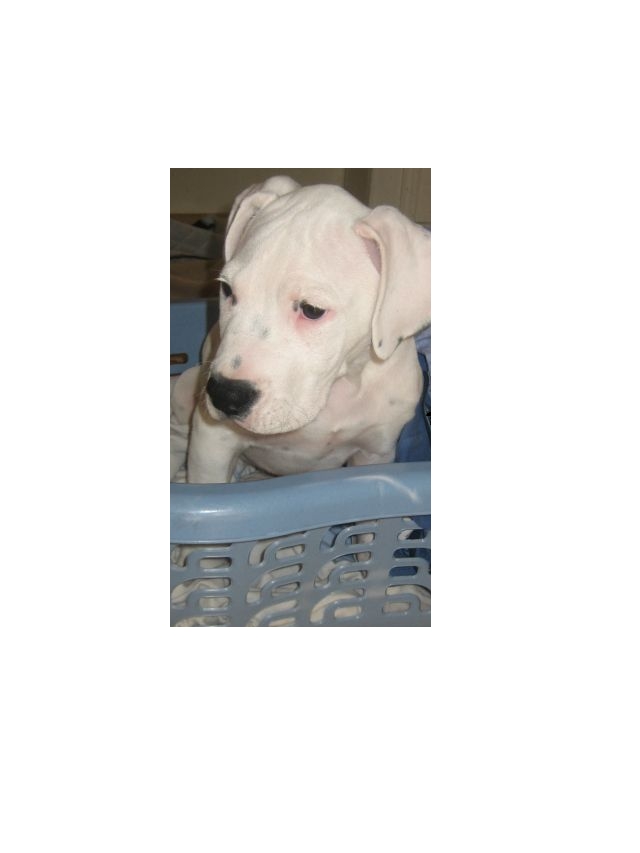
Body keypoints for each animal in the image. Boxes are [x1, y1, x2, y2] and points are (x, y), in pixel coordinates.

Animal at [178, 175, 430, 484]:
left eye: (312, 310)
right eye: (227, 290)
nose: (225, 395)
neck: (337, 389)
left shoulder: (374, 454)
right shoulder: (211, 444)